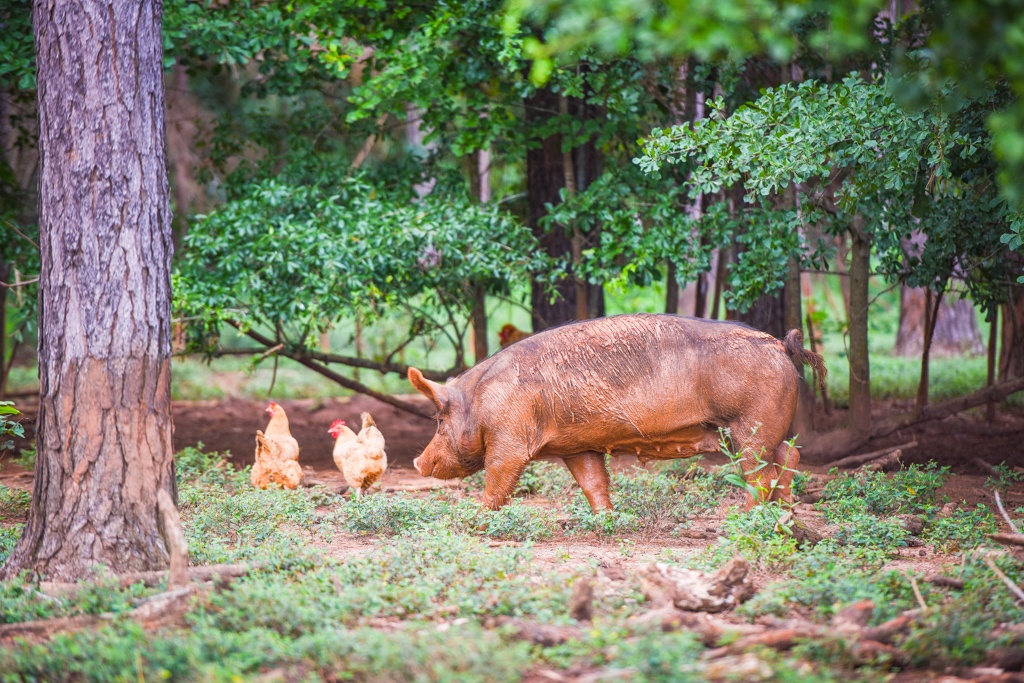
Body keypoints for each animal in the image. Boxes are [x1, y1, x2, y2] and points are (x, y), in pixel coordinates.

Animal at [407, 313, 823, 509]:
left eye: (439, 421)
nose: (417, 462)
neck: (479, 399)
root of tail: (779, 345)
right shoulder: (576, 446)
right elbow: (592, 482)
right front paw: (607, 518)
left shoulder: (510, 437)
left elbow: (497, 480)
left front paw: (475, 521)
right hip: (766, 426)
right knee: (788, 456)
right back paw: (784, 516)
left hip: (750, 424)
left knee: (760, 473)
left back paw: (744, 518)